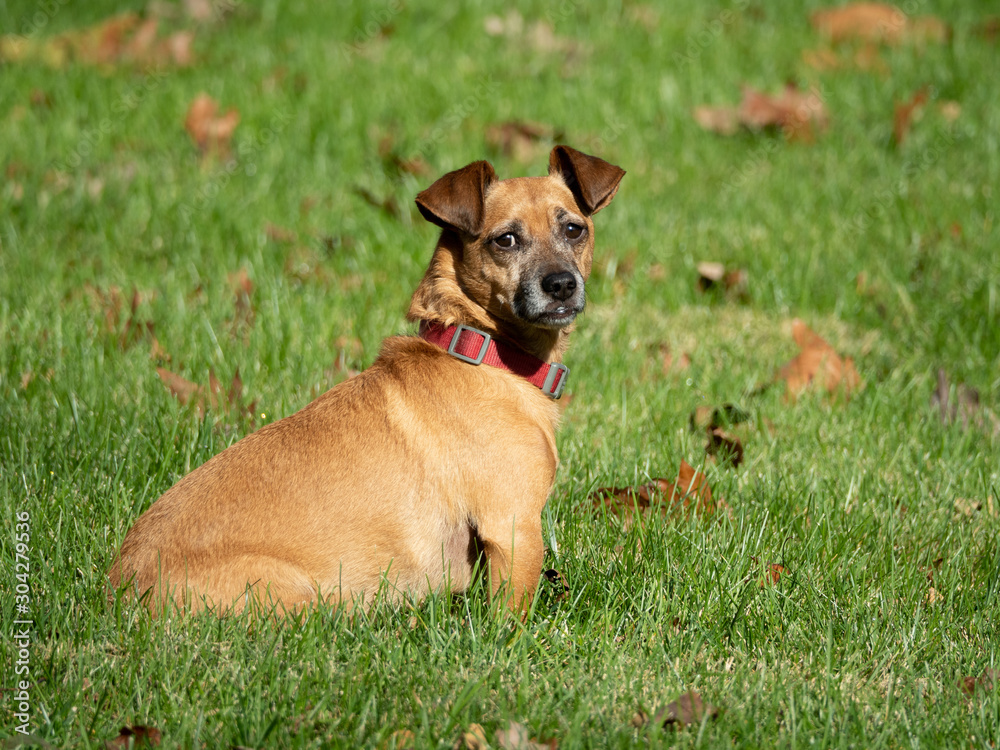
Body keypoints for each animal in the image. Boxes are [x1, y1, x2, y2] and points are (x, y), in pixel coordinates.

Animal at [111, 147, 624, 616]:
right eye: (506, 240)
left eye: (574, 229)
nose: (561, 284)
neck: (482, 348)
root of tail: (120, 593)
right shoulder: (514, 527)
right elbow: (513, 617)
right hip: (299, 597)